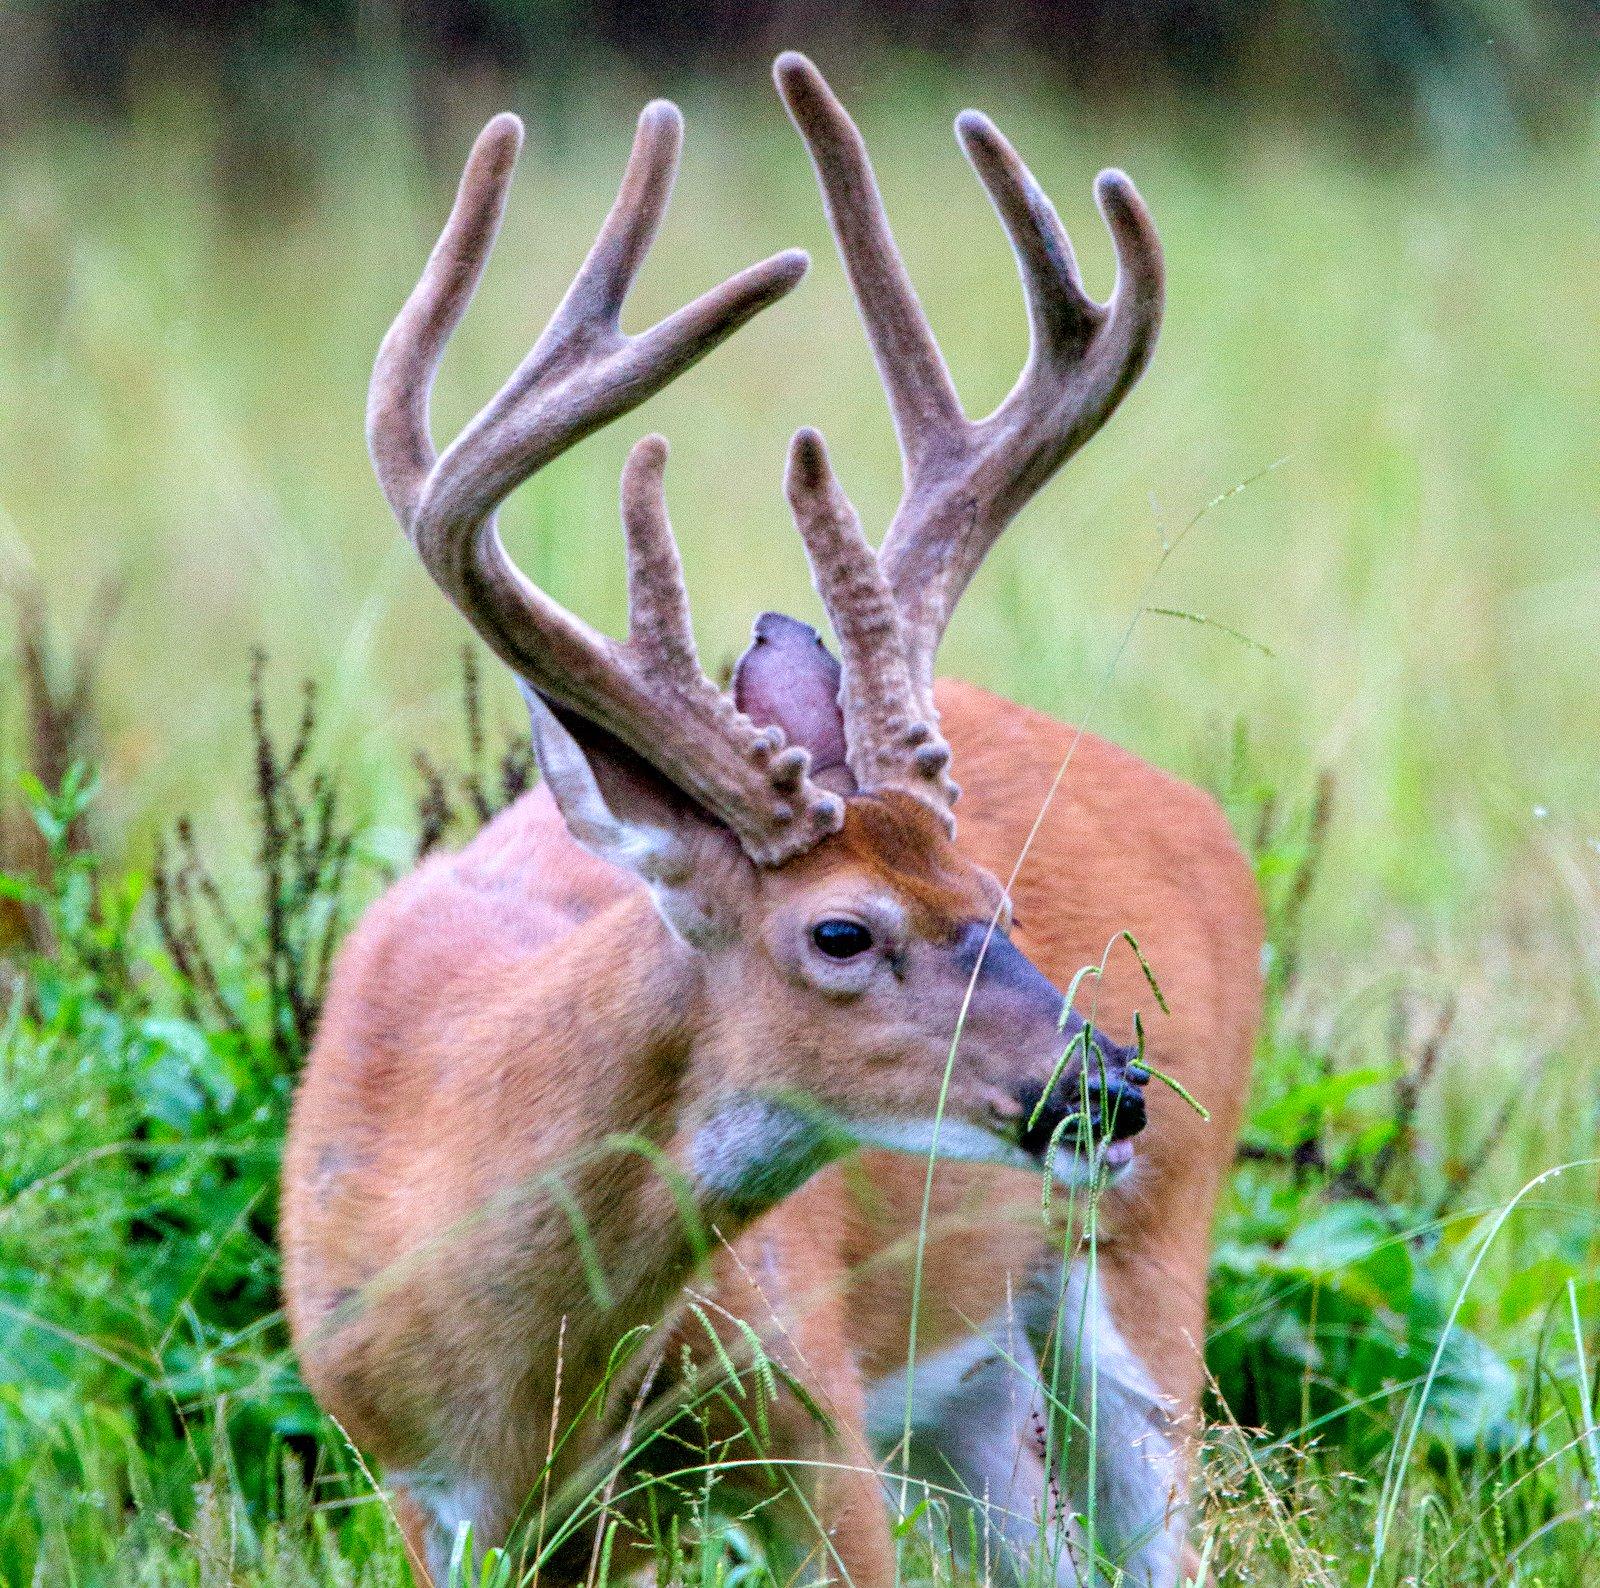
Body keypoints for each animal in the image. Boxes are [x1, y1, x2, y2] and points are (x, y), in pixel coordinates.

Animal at [284, 49, 1260, 1588]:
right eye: (841, 933)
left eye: (992, 893)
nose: (1104, 1085)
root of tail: (1203, 817)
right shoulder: (419, 1489)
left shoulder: (809, 1404)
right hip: (979, 1394)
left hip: (1148, 1260)